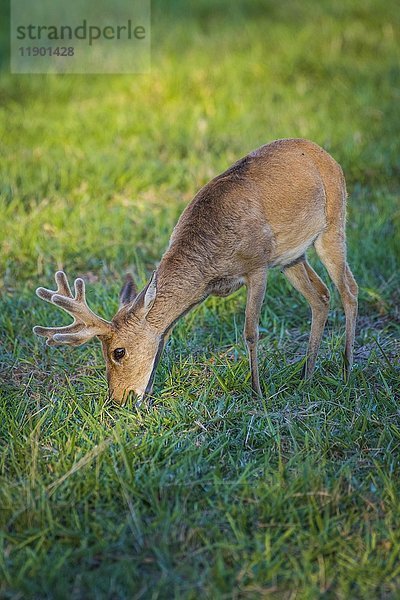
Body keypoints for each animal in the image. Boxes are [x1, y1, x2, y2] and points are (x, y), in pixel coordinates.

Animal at [33, 138, 360, 406]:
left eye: (118, 352)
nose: (118, 400)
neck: (210, 263)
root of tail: (323, 153)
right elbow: (163, 337)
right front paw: (148, 397)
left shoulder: (257, 266)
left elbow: (250, 332)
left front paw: (257, 392)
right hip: (290, 257)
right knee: (321, 296)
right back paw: (307, 376)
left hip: (333, 224)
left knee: (349, 289)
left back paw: (346, 370)